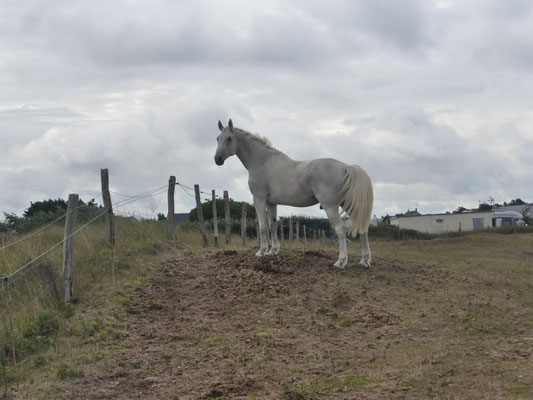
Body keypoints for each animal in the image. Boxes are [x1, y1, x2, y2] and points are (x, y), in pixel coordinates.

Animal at [214, 119, 372, 268]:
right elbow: (272, 225)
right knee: (362, 228)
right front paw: (273, 251)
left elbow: (263, 225)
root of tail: (346, 167)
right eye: (217, 138)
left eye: (229, 138)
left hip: (331, 206)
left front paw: (261, 251)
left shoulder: (259, 199)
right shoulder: (271, 203)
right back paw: (364, 261)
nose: (217, 159)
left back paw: (340, 262)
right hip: (348, 205)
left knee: (340, 229)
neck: (263, 162)